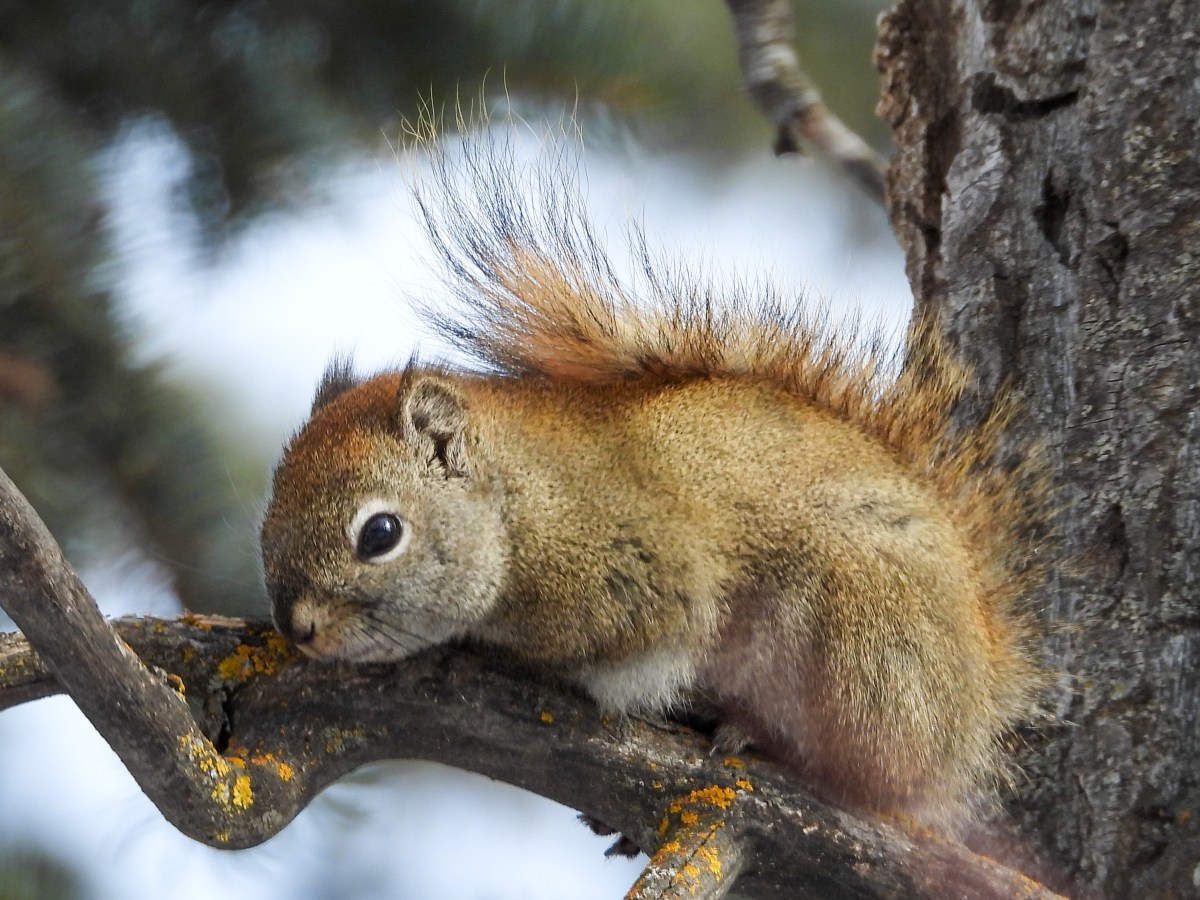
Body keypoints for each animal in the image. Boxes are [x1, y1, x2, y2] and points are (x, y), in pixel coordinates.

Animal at [258, 133, 1050, 832]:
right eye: (265, 528)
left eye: (380, 533)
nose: (299, 630)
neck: (521, 504)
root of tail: (974, 707)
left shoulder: (635, 569)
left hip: (859, 642)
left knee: (873, 770)